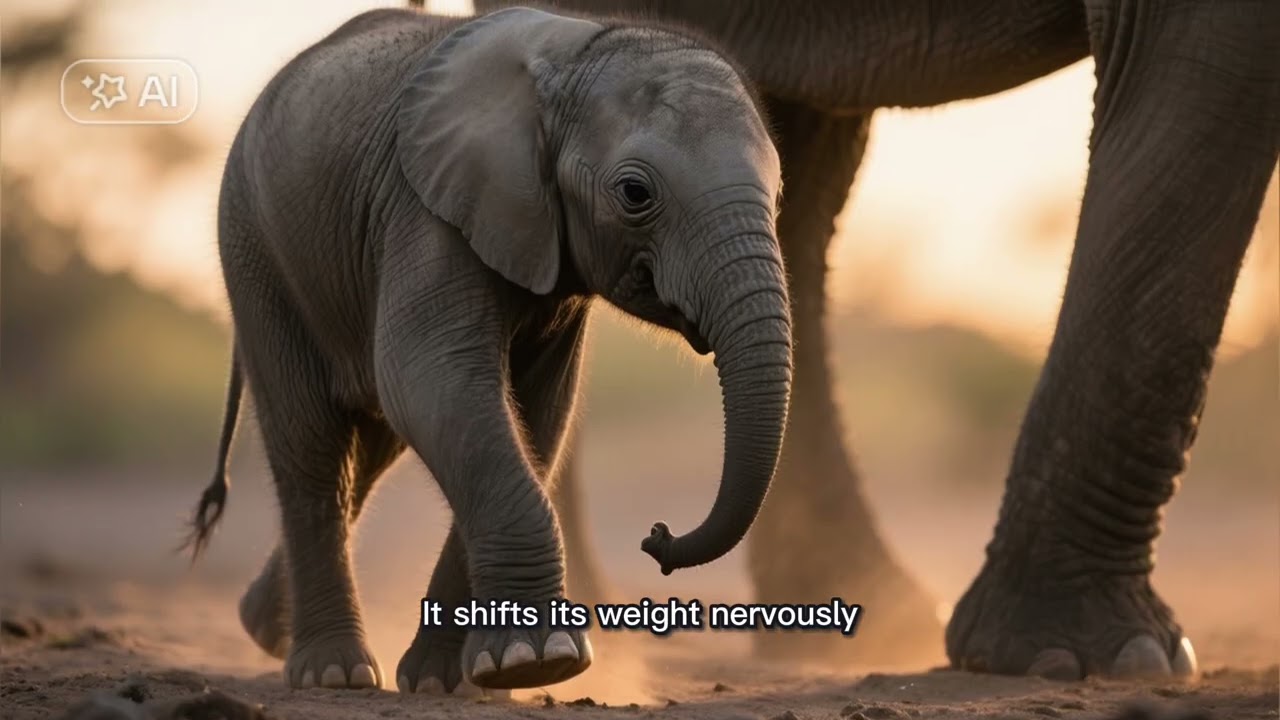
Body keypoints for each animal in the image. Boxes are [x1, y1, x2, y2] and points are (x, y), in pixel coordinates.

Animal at [184, 6, 795, 693]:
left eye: (777, 195)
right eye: (635, 194)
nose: (657, 537)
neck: (579, 51)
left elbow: (530, 415)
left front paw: (453, 679)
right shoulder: (424, 209)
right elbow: (436, 382)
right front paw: (541, 661)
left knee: (366, 453)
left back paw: (264, 627)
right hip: (255, 250)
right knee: (313, 442)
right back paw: (332, 673)